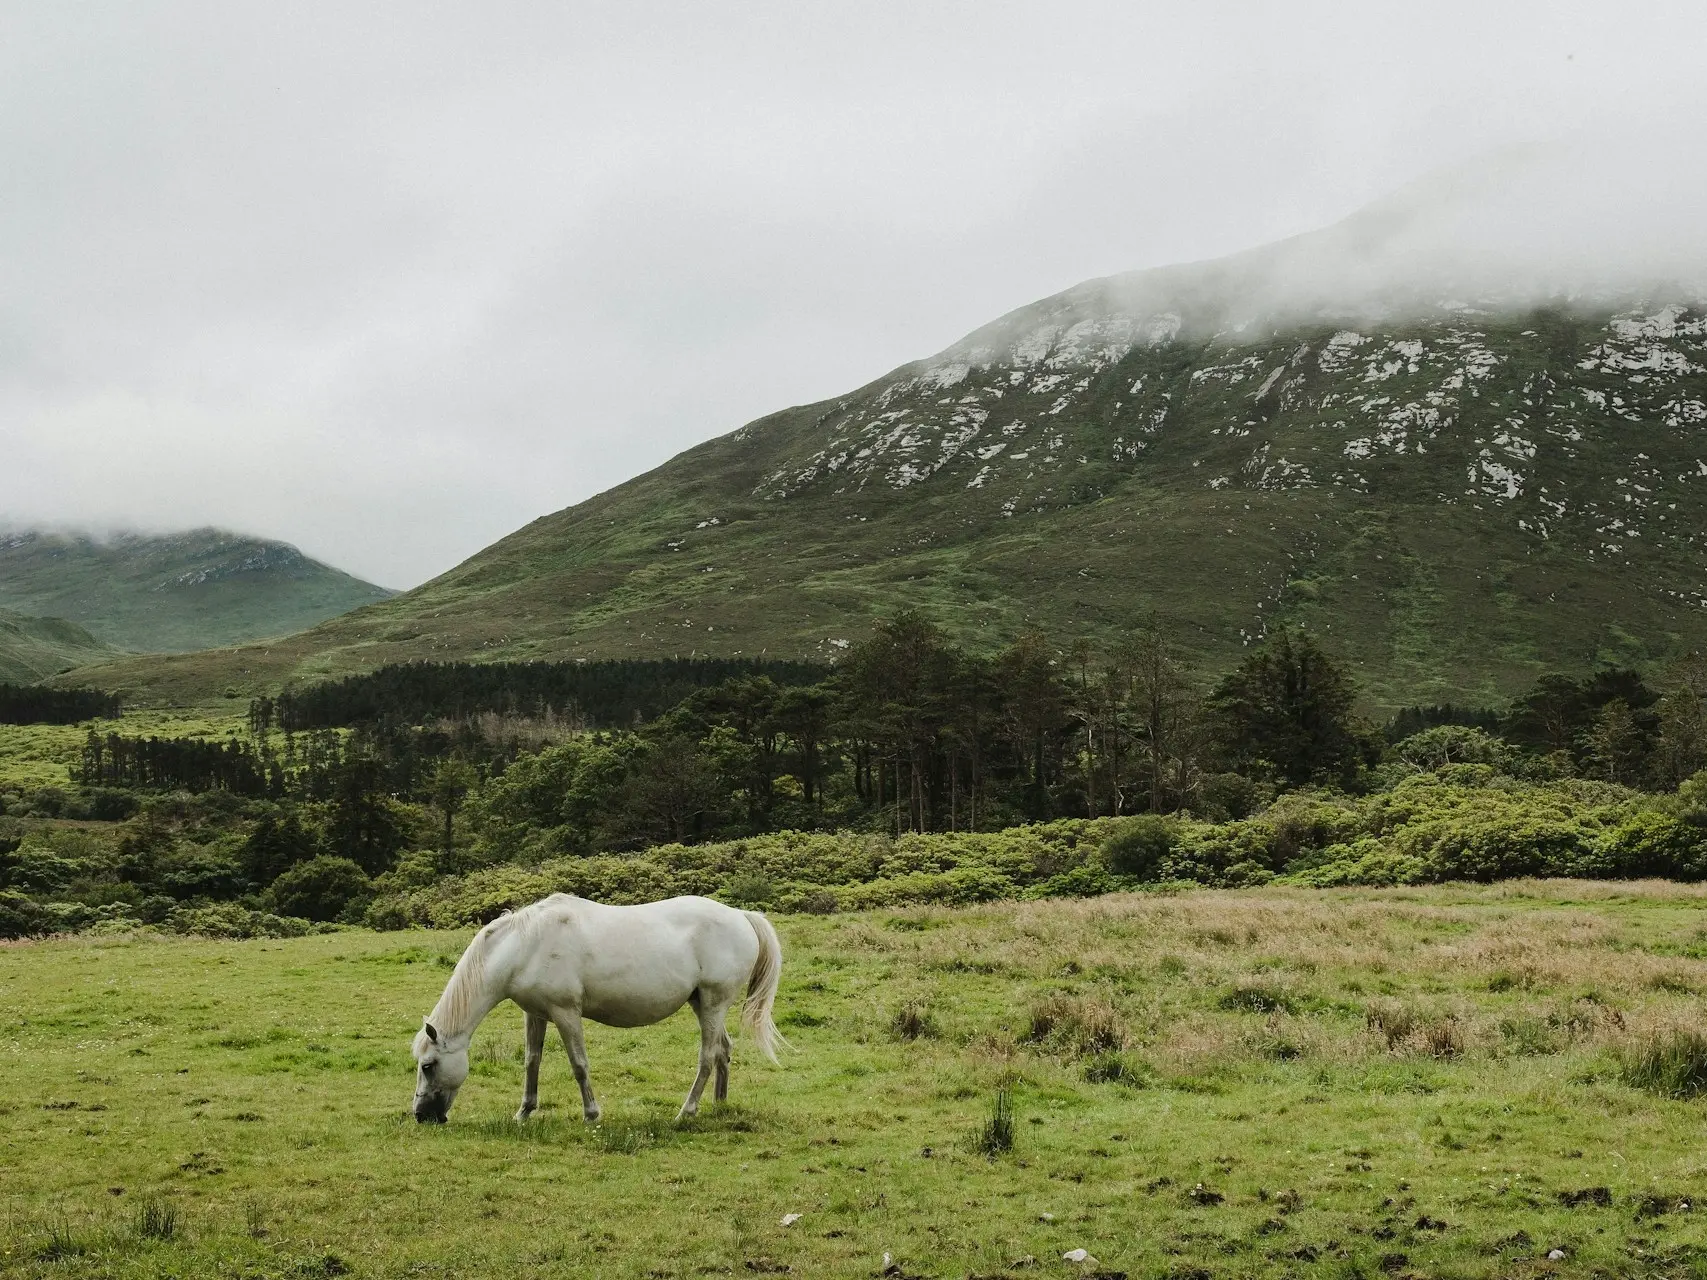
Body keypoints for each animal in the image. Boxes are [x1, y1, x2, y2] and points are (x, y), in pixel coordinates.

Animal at [413, 894, 785, 1126]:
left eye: (428, 1065)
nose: (420, 1114)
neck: (526, 945)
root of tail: (741, 916)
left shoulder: (565, 1013)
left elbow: (579, 1064)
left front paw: (591, 1113)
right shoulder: (535, 1014)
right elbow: (532, 1061)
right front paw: (524, 1112)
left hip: (712, 1003)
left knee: (707, 1057)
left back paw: (687, 1112)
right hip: (703, 1004)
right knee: (723, 1050)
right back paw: (719, 1105)